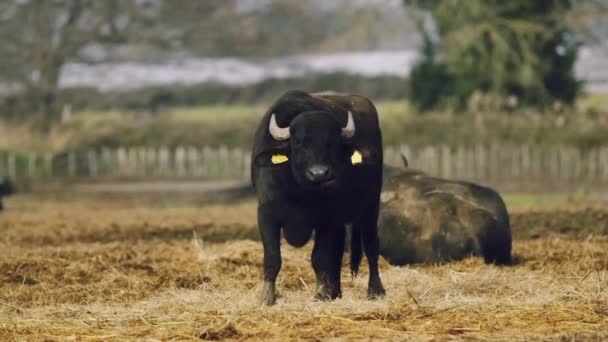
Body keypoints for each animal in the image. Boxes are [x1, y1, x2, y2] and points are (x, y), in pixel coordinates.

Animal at [251, 90, 384, 304]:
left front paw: (321, 293)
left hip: (371, 205)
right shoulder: (266, 214)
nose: (319, 173)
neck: (298, 193)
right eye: (298, 143)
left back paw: (375, 290)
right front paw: (267, 297)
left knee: (371, 245)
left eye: (332, 143)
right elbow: (272, 258)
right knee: (338, 251)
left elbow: (320, 257)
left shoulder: (326, 218)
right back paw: (336, 291)